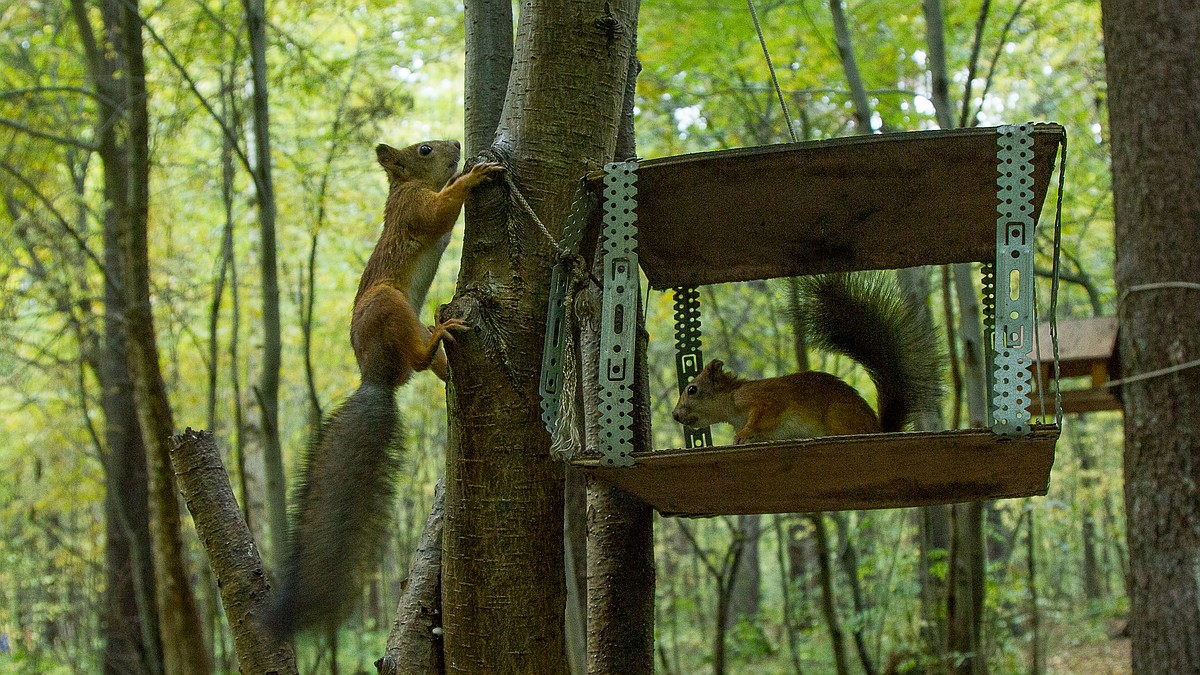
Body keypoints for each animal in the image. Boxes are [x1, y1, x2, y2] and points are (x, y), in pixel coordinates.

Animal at [264, 138, 501, 634]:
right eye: (424, 149)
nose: (455, 144)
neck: (405, 185)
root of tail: (374, 378)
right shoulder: (412, 210)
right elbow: (437, 215)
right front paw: (470, 176)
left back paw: (442, 357)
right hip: (389, 302)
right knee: (416, 358)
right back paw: (437, 337)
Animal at [672, 271, 940, 441]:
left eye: (692, 389)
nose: (675, 415)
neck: (730, 402)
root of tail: (877, 429)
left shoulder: (764, 398)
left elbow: (764, 414)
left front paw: (743, 433)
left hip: (838, 415)